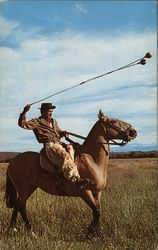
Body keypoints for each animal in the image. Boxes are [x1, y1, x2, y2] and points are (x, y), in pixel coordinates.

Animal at [5, 110, 137, 233]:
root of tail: (12, 161)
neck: (92, 160)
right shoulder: (85, 192)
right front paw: (90, 233)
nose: (133, 132)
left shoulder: (97, 192)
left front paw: (96, 232)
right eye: (113, 121)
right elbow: (96, 211)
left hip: (30, 187)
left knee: (18, 204)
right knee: (22, 205)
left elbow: (98, 211)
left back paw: (12, 228)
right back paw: (30, 231)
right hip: (23, 188)